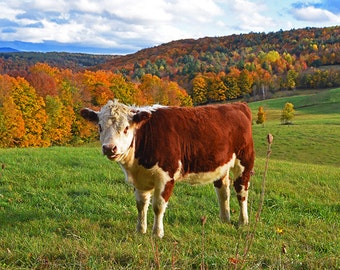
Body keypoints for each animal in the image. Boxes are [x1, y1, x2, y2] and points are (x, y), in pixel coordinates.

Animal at [80, 100, 255, 237]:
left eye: (126, 128)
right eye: (100, 127)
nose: (110, 148)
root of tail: (236, 105)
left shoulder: (166, 176)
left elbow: (158, 206)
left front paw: (157, 233)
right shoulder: (139, 179)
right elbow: (141, 204)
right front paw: (140, 230)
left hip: (244, 160)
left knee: (241, 191)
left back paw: (243, 221)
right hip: (221, 165)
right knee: (223, 191)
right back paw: (224, 219)